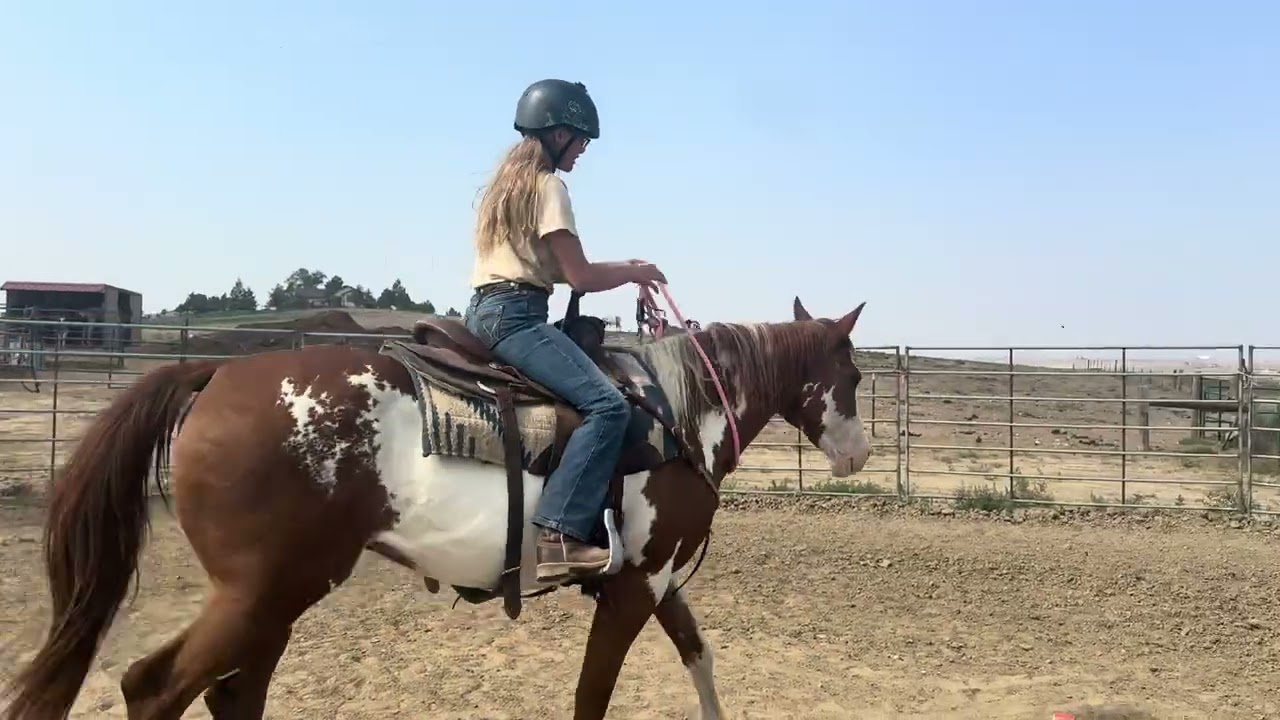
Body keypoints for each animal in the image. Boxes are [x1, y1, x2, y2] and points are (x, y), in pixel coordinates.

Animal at [1, 295, 871, 720]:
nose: (859, 455)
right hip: (258, 594)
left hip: (275, 597)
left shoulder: (655, 583)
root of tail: (213, 373)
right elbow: (592, 695)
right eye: (857, 374)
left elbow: (700, 662)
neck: (674, 415)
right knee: (155, 689)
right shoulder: (633, 586)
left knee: (231, 696)